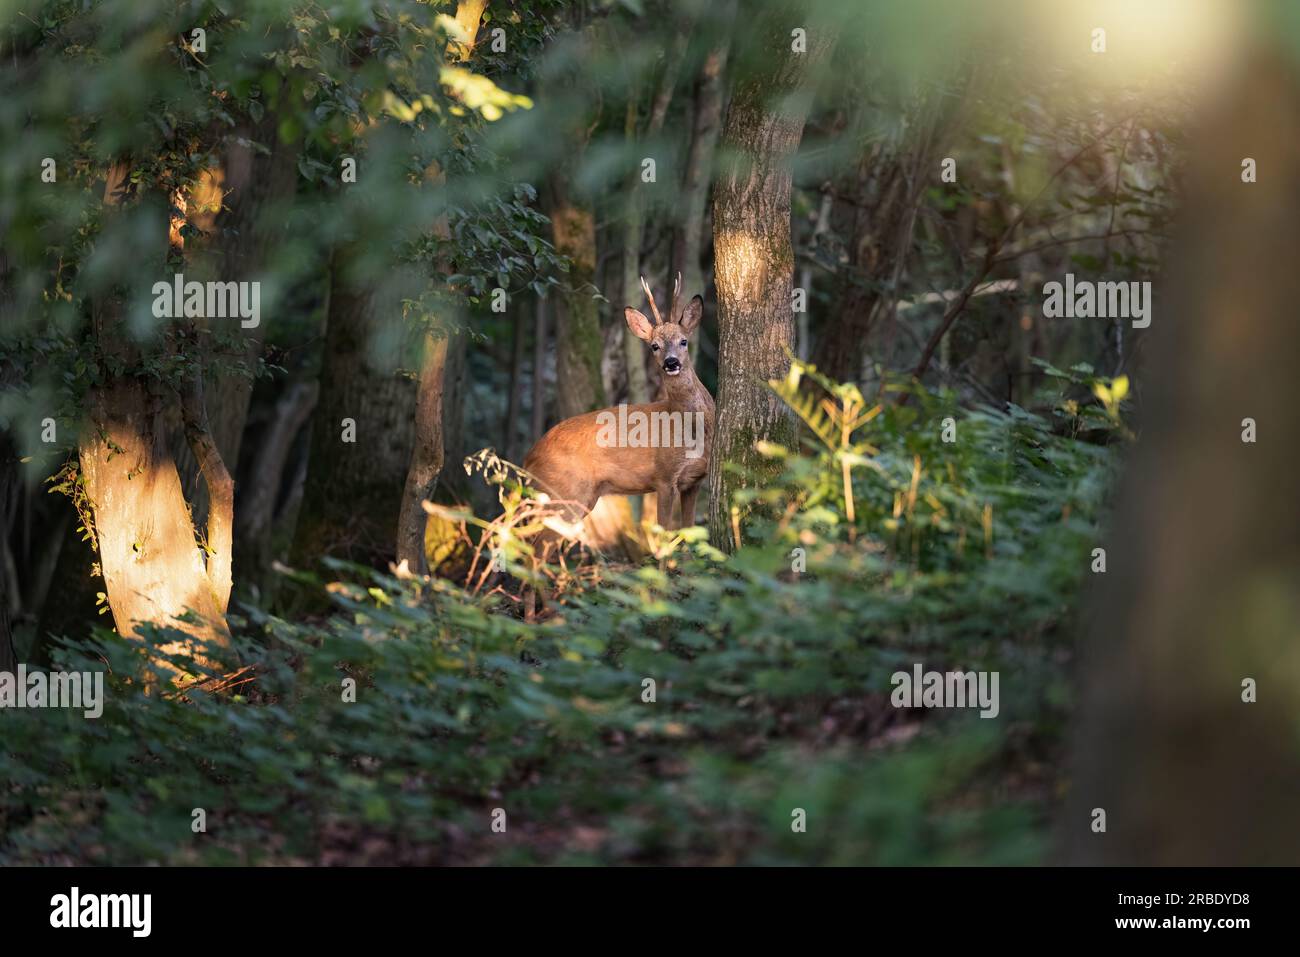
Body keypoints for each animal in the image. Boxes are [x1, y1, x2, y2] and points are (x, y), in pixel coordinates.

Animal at [523, 274, 714, 554]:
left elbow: (689, 534)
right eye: (654, 346)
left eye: (684, 341)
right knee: (537, 547)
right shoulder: (664, 477)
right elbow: (663, 539)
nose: (671, 363)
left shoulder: (694, 481)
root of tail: (528, 458)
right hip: (564, 491)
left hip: (579, 497)